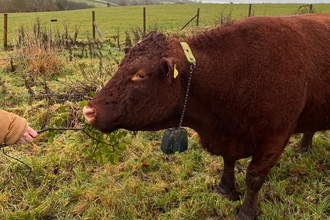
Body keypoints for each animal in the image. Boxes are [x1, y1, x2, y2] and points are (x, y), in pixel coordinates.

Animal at [84, 14, 330, 219]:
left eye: (141, 75)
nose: (89, 111)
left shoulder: (274, 138)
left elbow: (254, 178)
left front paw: (246, 212)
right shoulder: (229, 134)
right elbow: (228, 161)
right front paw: (225, 188)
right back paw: (304, 148)